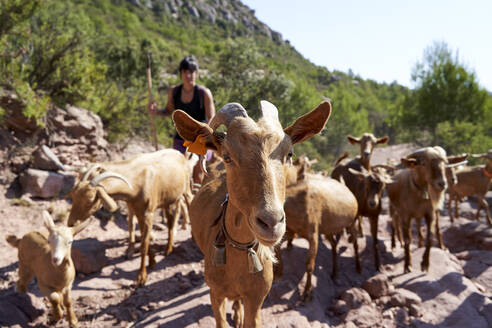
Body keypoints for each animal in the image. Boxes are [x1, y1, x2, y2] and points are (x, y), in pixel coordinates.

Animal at [66, 150, 193, 286]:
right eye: (73, 196)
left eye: (90, 199)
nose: (70, 223)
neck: (136, 180)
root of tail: (180, 154)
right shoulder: (138, 211)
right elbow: (143, 238)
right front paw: (152, 261)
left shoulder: (148, 213)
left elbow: (143, 244)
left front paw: (141, 277)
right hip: (167, 201)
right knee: (170, 220)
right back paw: (168, 249)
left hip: (186, 190)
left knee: (189, 203)